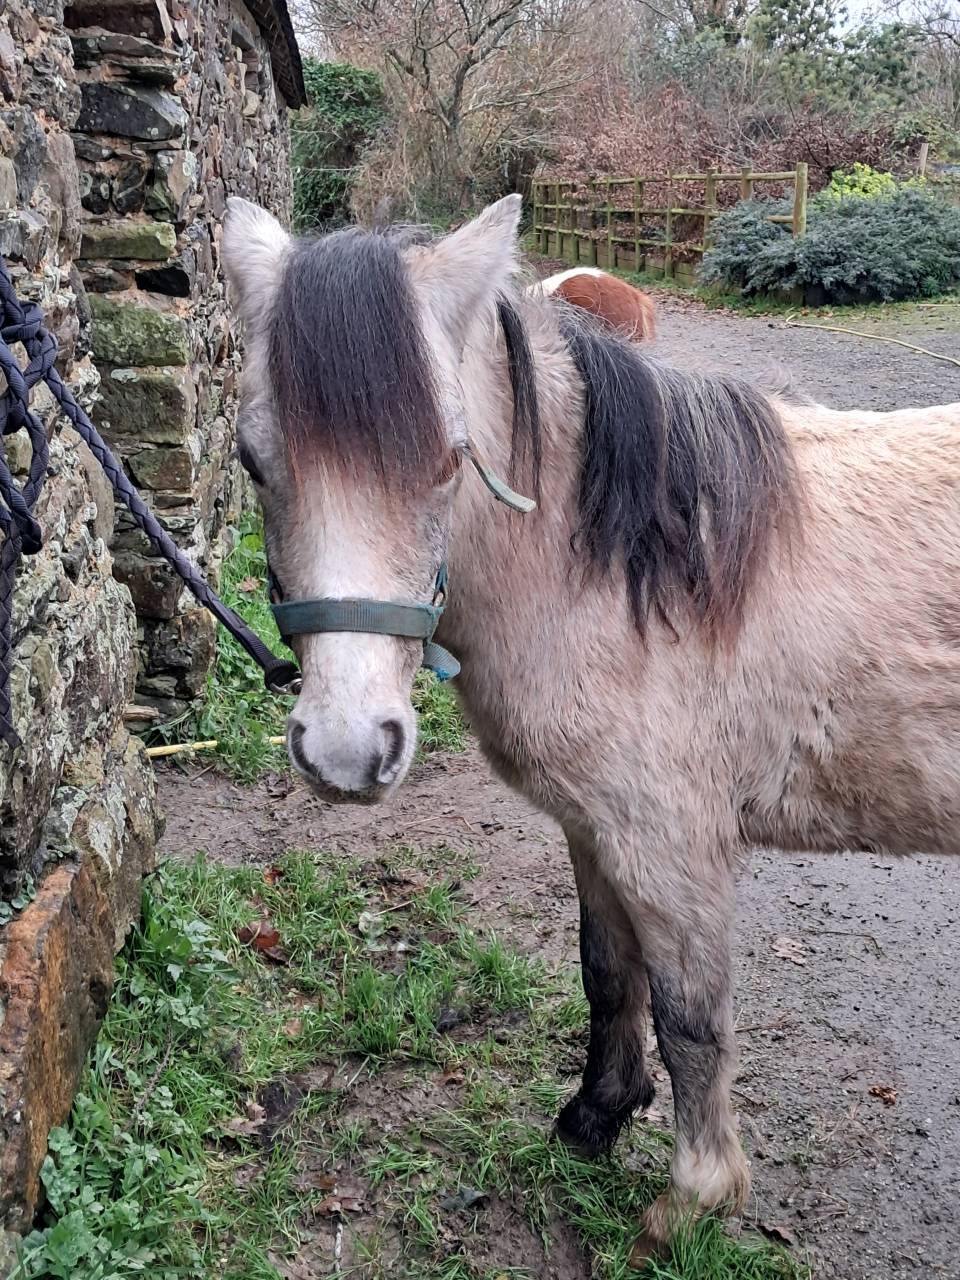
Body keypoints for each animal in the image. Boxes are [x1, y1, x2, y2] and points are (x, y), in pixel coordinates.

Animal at [222, 194, 960, 1256]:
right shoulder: (594, 829)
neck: (632, 574)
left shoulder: (669, 842)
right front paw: (596, 1116)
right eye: (253, 460)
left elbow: (691, 1017)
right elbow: (609, 972)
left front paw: (690, 1203)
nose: (346, 749)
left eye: (449, 461)